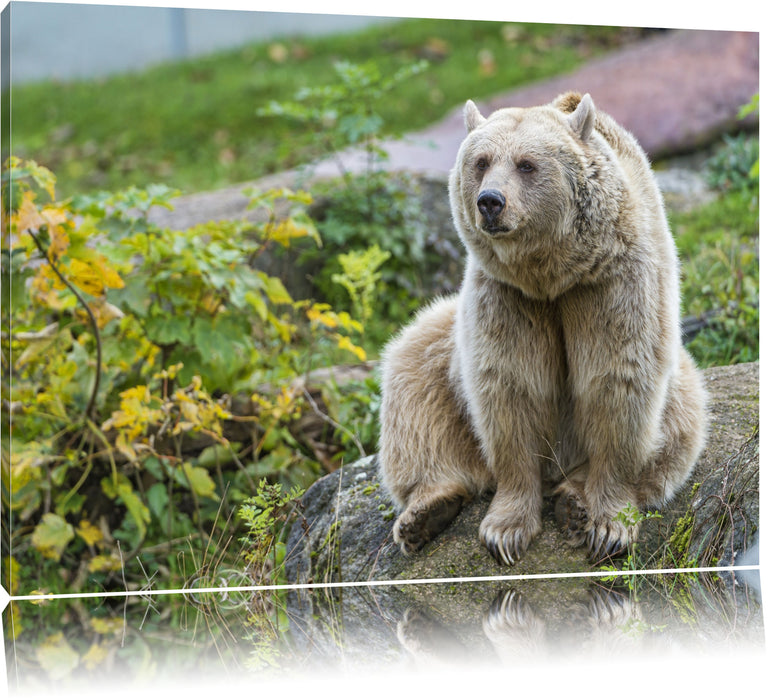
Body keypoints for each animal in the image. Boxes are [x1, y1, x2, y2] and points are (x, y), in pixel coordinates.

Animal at [378, 91, 708, 564]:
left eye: (526, 164)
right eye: (481, 161)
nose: (490, 201)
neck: (552, 274)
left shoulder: (611, 285)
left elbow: (617, 381)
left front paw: (609, 527)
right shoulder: (507, 298)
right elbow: (510, 387)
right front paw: (505, 530)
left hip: (680, 380)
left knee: (679, 423)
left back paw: (573, 500)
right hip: (442, 341)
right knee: (413, 385)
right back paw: (426, 512)